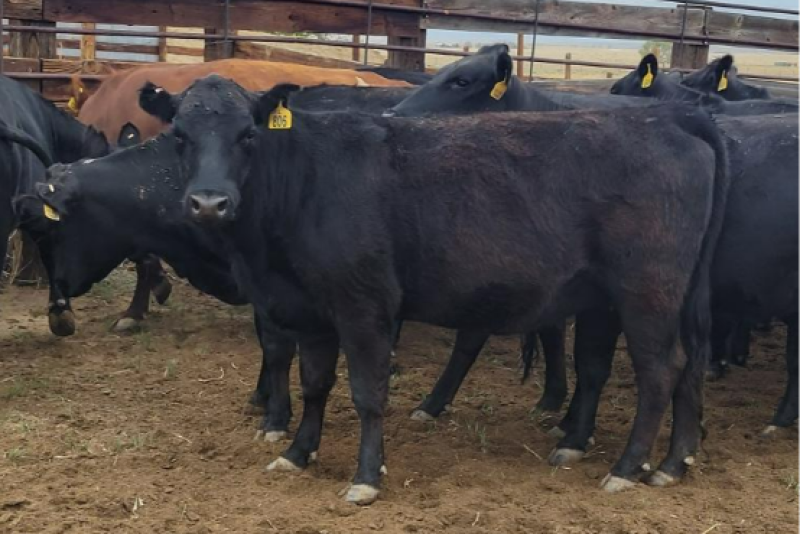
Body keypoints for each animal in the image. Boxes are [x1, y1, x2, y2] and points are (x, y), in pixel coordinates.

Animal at [94, 75, 730, 504]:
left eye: (248, 134)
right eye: (179, 135)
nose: (209, 203)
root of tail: (667, 118)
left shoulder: (364, 306)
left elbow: (367, 393)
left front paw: (365, 478)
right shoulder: (311, 312)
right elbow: (315, 385)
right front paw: (298, 453)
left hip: (648, 292)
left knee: (661, 370)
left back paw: (626, 468)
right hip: (641, 298)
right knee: (671, 367)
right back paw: (666, 460)